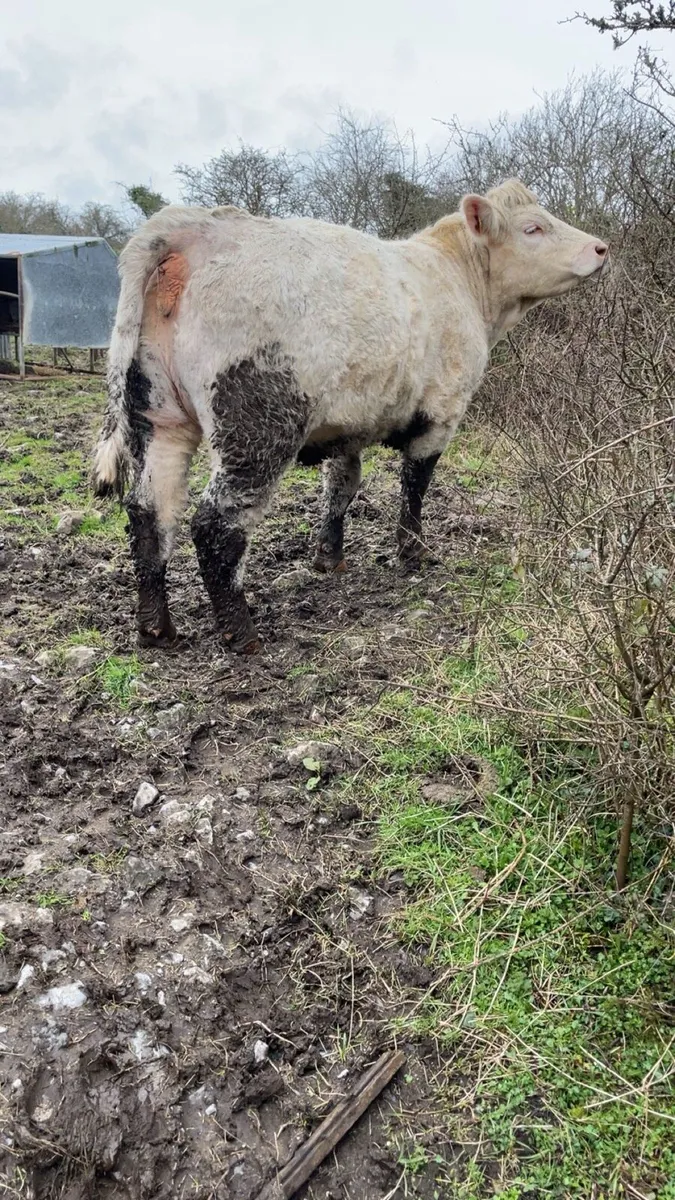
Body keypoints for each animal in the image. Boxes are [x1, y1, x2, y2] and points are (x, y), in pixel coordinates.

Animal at [92, 180, 608, 654]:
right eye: (533, 228)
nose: (601, 247)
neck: (461, 281)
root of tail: (195, 227)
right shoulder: (442, 412)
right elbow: (415, 486)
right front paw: (414, 552)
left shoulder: (348, 427)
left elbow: (341, 486)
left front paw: (329, 558)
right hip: (257, 426)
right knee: (215, 525)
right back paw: (242, 633)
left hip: (159, 417)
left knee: (149, 511)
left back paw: (156, 628)